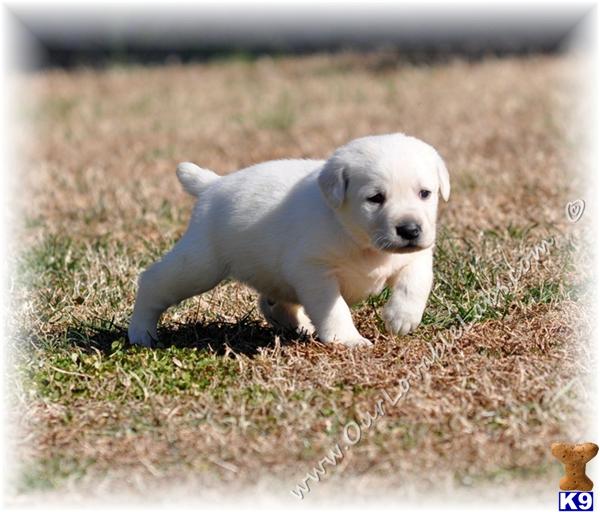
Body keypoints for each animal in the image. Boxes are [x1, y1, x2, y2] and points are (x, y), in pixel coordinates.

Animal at [129, 133, 448, 348]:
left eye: (425, 193)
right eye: (375, 198)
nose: (410, 230)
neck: (359, 239)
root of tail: (213, 184)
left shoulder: (416, 255)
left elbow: (415, 282)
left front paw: (401, 317)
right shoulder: (314, 271)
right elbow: (333, 307)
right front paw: (347, 339)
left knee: (272, 303)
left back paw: (298, 325)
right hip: (199, 265)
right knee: (153, 282)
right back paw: (141, 332)